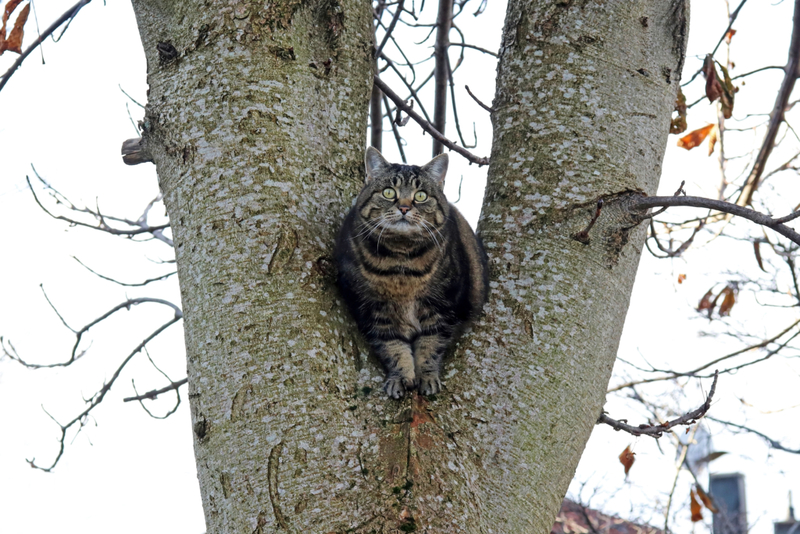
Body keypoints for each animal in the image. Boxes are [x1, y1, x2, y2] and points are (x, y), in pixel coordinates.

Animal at [332, 149, 488, 400]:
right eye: (389, 192)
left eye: (421, 195)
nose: (404, 207)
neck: (401, 261)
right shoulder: (375, 312)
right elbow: (392, 347)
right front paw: (400, 377)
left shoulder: (441, 307)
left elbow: (430, 345)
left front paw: (426, 376)